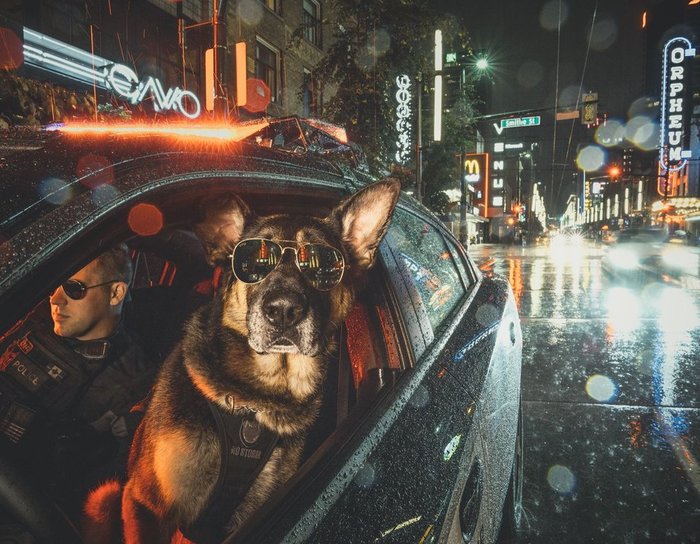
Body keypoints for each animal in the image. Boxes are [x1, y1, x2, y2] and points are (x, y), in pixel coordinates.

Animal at [82, 180, 400, 544]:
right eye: (253, 262)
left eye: (322, 264)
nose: (283, 311)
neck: (257, 398)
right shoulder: (146, 504)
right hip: (105, 495)